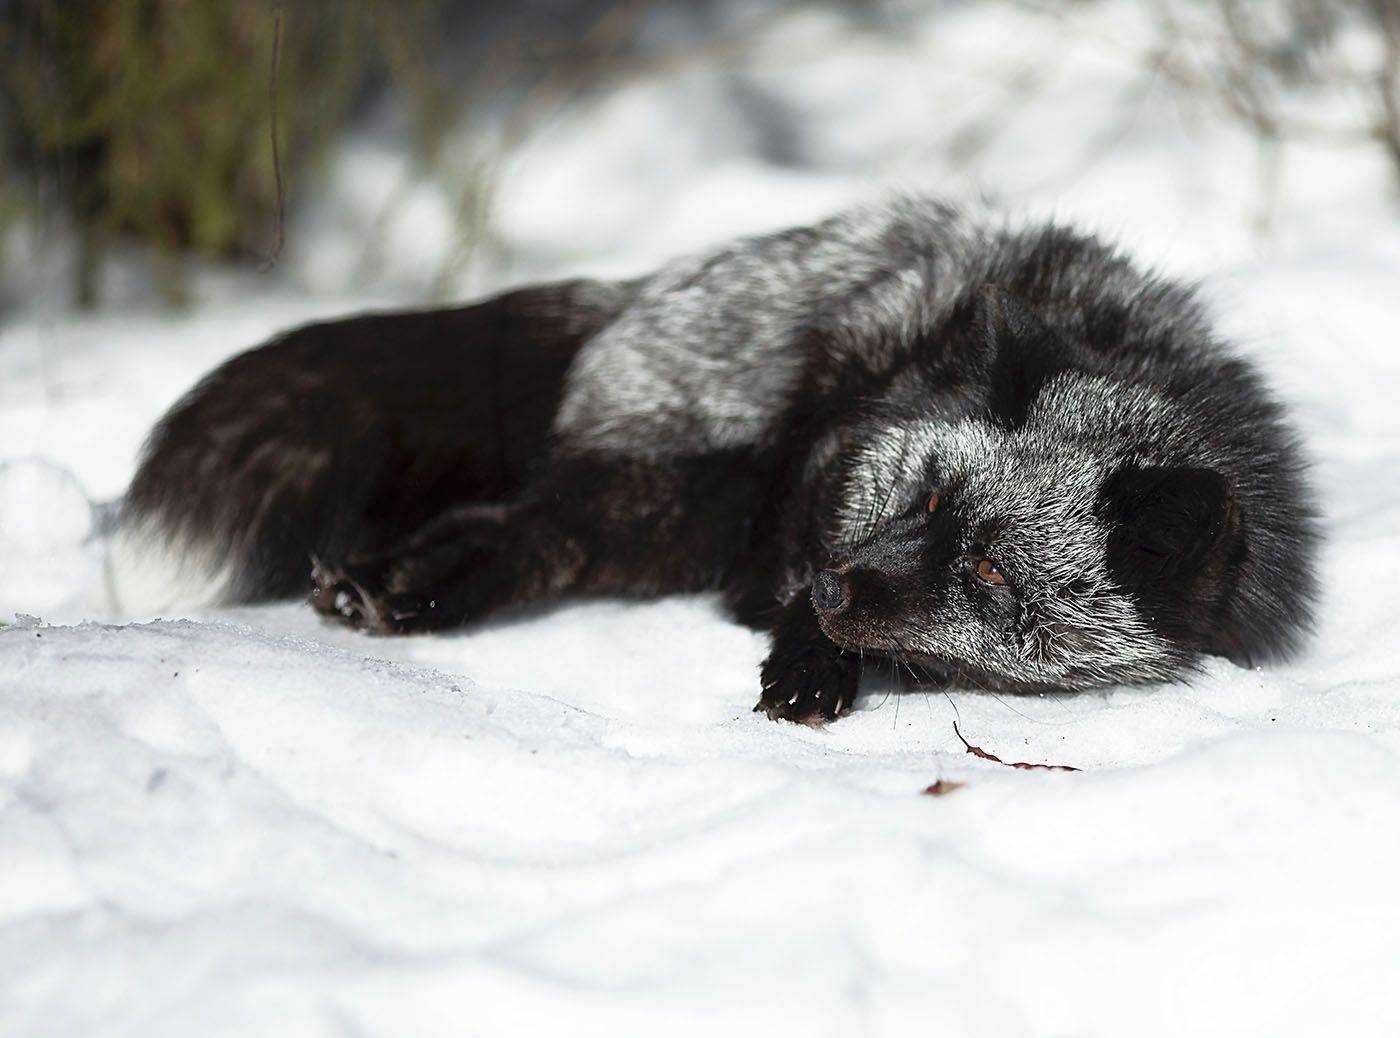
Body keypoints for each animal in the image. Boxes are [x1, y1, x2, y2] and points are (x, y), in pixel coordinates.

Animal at [115, 197, 1318, 723]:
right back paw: (387, 586)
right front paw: (806, 660)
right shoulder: (840, 459)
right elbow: (815, 561)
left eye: (985, 571)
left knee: (530, 541)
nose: (834, 590)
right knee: (512, 528)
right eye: (926, 497)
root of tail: (640, 285)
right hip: (677, 488)